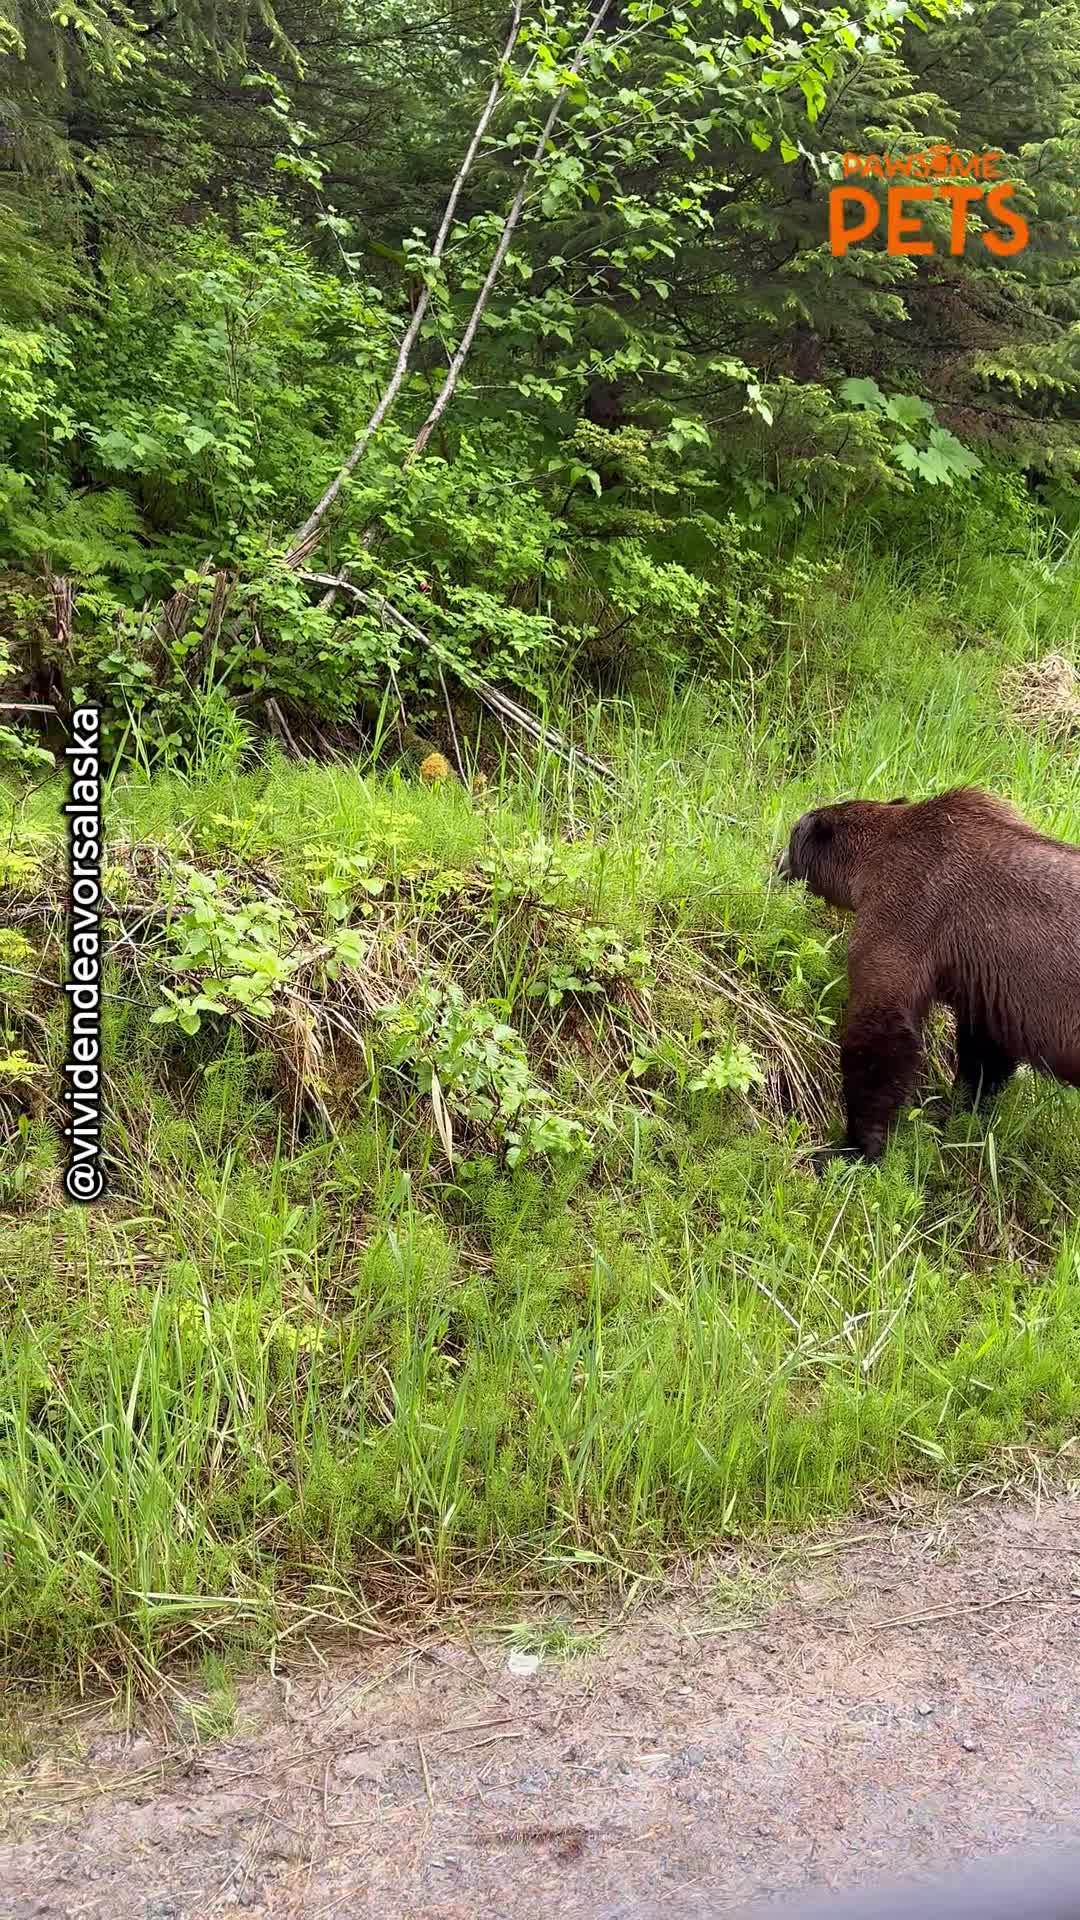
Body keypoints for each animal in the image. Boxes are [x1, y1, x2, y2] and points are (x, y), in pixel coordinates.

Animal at [777, 786, 1080, 1162]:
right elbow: (985, 1054)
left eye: (792, 833)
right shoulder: (988, 984)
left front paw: (855, 1147)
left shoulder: (910, 909)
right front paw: (960, 1114)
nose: (777, 863)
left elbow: (882, 1028)